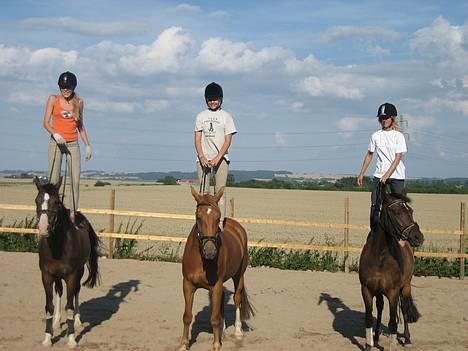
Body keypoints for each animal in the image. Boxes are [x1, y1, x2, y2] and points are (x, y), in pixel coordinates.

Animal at [34, 177, 100, 348]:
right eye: (37, 200)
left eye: (57, 202)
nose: (43, 228)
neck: (58, 246)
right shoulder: (46, 276)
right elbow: (49, 306)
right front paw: (48, 337)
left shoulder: (72, 276)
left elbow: (69, 306)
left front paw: (71, 339)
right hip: (57, 276)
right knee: (59, 291)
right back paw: (57, 321)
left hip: (79, 272)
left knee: (76, 292)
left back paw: (77, 321)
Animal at [179, 187, 254, 350]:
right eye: (198, 217)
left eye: (217, 217)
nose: (210, 251)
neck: (202, 261)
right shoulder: (187, 284)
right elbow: (187, 316)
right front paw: (183, 344)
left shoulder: (217, 286)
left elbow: (214, 319)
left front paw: (216, 345)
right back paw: (222, 331)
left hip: (239, 275)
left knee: (237, 299)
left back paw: (238, 331)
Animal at [358, 186, 424, 350]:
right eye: (396, 212)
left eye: (411, 211)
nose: (418, 237)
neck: (380, 256)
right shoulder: (366, 290)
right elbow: (368, 318)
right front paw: (368, 344)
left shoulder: (393, 292)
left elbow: (393, 323)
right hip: (379, 291)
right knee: (380, 307)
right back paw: (375, 337)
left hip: (405, 287)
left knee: (405, 309)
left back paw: (407, 339)